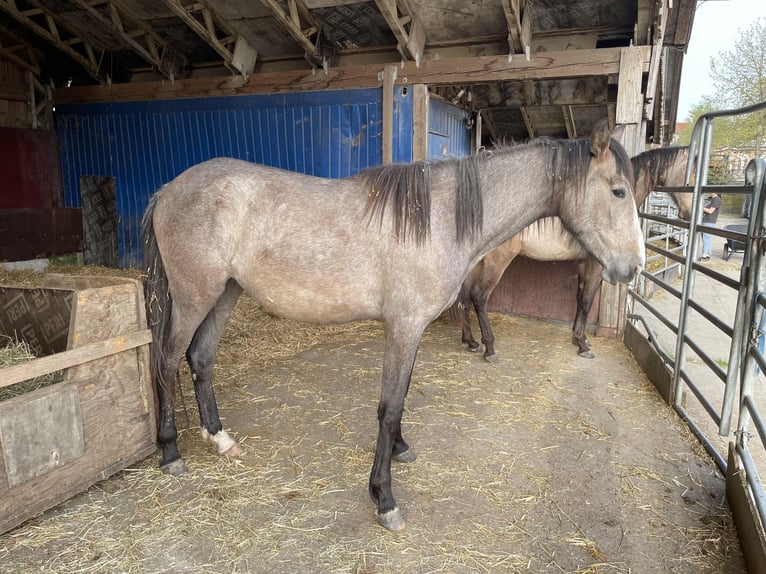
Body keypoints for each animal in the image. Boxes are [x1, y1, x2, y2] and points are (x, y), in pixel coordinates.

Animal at [141, 119, 644, 532]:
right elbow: (390, 406)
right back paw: (171, 452)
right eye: (618, 191)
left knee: (200, 358)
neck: (439, 217)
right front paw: (384, 498)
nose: (634, 267)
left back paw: (219, 438)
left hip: (225, 293)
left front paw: (401, 450)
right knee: (166, 362)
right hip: (194, 297)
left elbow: (400, 400)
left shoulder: (411, 328)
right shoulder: (402, 326)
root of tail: (168, 189)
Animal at [452, 145, 692, 360]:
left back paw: (470, 341)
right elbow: (586, 301)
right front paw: (583, 345)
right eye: (690, 174)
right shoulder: (596, 265)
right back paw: (489, 347)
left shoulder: (584, 264)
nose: (688, 214)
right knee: (479, 297)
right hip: (497, 261)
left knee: (464, 296)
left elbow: (579, 298)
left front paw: (577, 338)